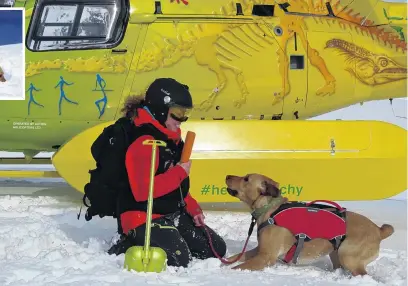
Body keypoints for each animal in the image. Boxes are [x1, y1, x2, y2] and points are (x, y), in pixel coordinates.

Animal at [225, 173, 394, 276]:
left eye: (246, 178)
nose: (227, 176)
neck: (270, 209)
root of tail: (379, 230)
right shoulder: (258, 251)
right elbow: (234, 258)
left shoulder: (265, 257)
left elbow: (237, 267)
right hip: (337, 254)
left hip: (348, 257)